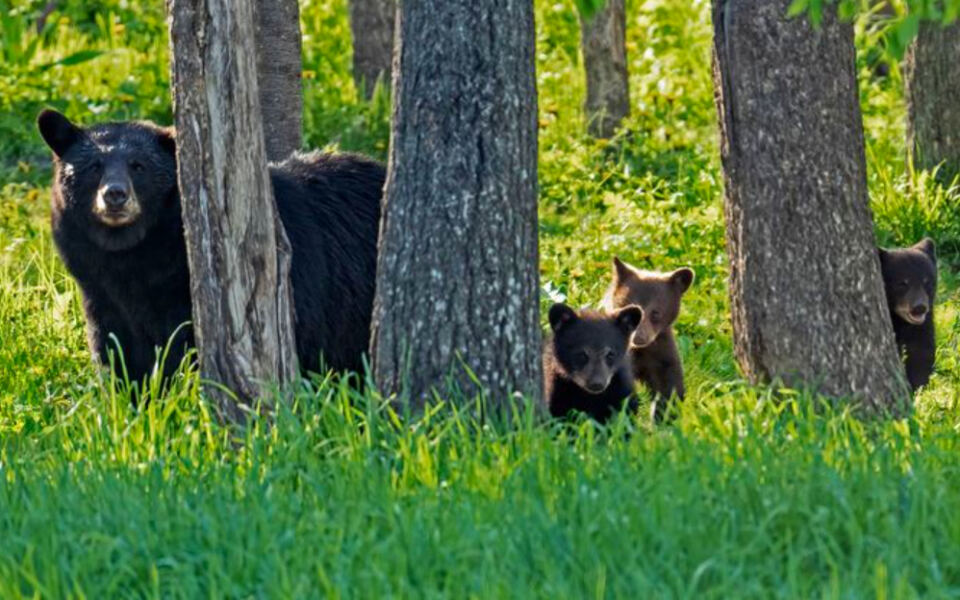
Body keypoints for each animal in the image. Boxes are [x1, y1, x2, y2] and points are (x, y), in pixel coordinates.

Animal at [601, 257, 694, 423]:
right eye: (629, 306)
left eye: (655, 312)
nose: (639, 337)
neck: (640, 351)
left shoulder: (661, 350)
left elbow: (668, 384)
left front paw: (665, 417)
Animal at [878, 238, 937, 391]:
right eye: (902, 283)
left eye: (927, 281)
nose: (919, 307)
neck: (901, 321)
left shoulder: (922, 325)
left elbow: (920, 351)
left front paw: (919, 387)